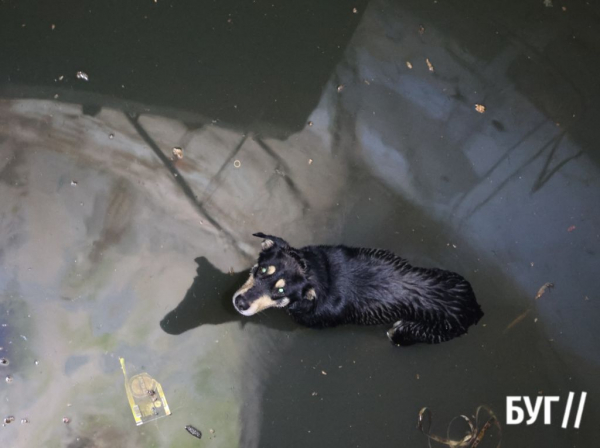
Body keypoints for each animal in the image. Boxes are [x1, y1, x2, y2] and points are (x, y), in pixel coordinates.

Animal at [230, 233, 482, 344]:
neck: (317, 273)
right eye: (263, 270)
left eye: (281, 292)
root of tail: (474, 308)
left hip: (412, 332)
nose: (240, 303)